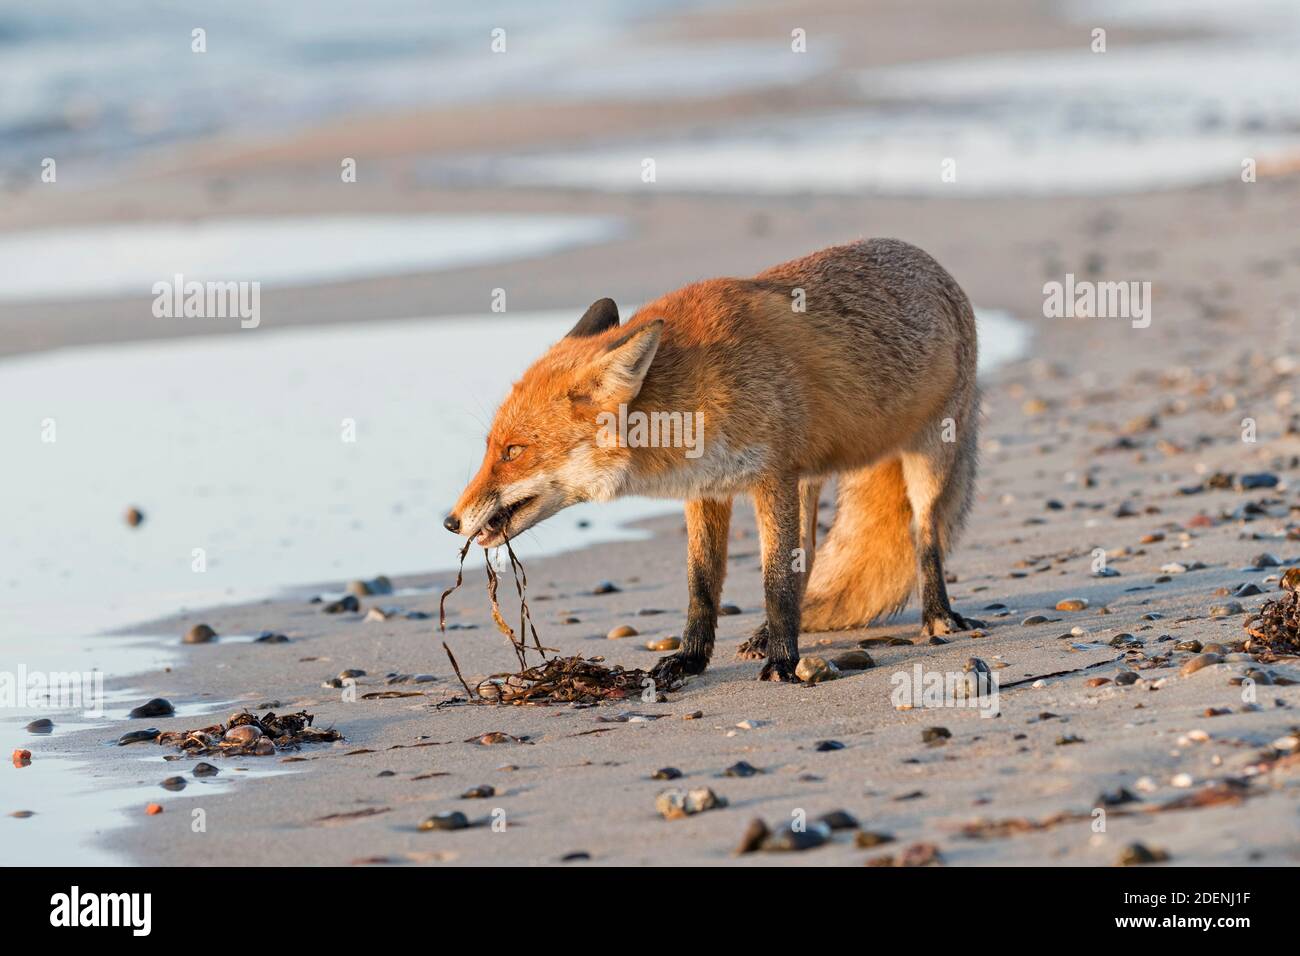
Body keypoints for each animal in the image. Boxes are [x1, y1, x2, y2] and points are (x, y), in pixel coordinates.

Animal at [441, 243, 977, 686]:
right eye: (491, 447)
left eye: (513, 451)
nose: (450, 522)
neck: (695, 398)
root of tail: (935, 266)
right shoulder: (707, 490)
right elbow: (702, 585)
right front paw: (691, 660)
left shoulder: (771, 478)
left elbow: (774, 580)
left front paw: (783, 662)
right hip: (808, 480)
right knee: (808, 557)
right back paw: (766, 634)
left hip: (926, 458)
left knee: (924, 536)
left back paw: (937, 615)